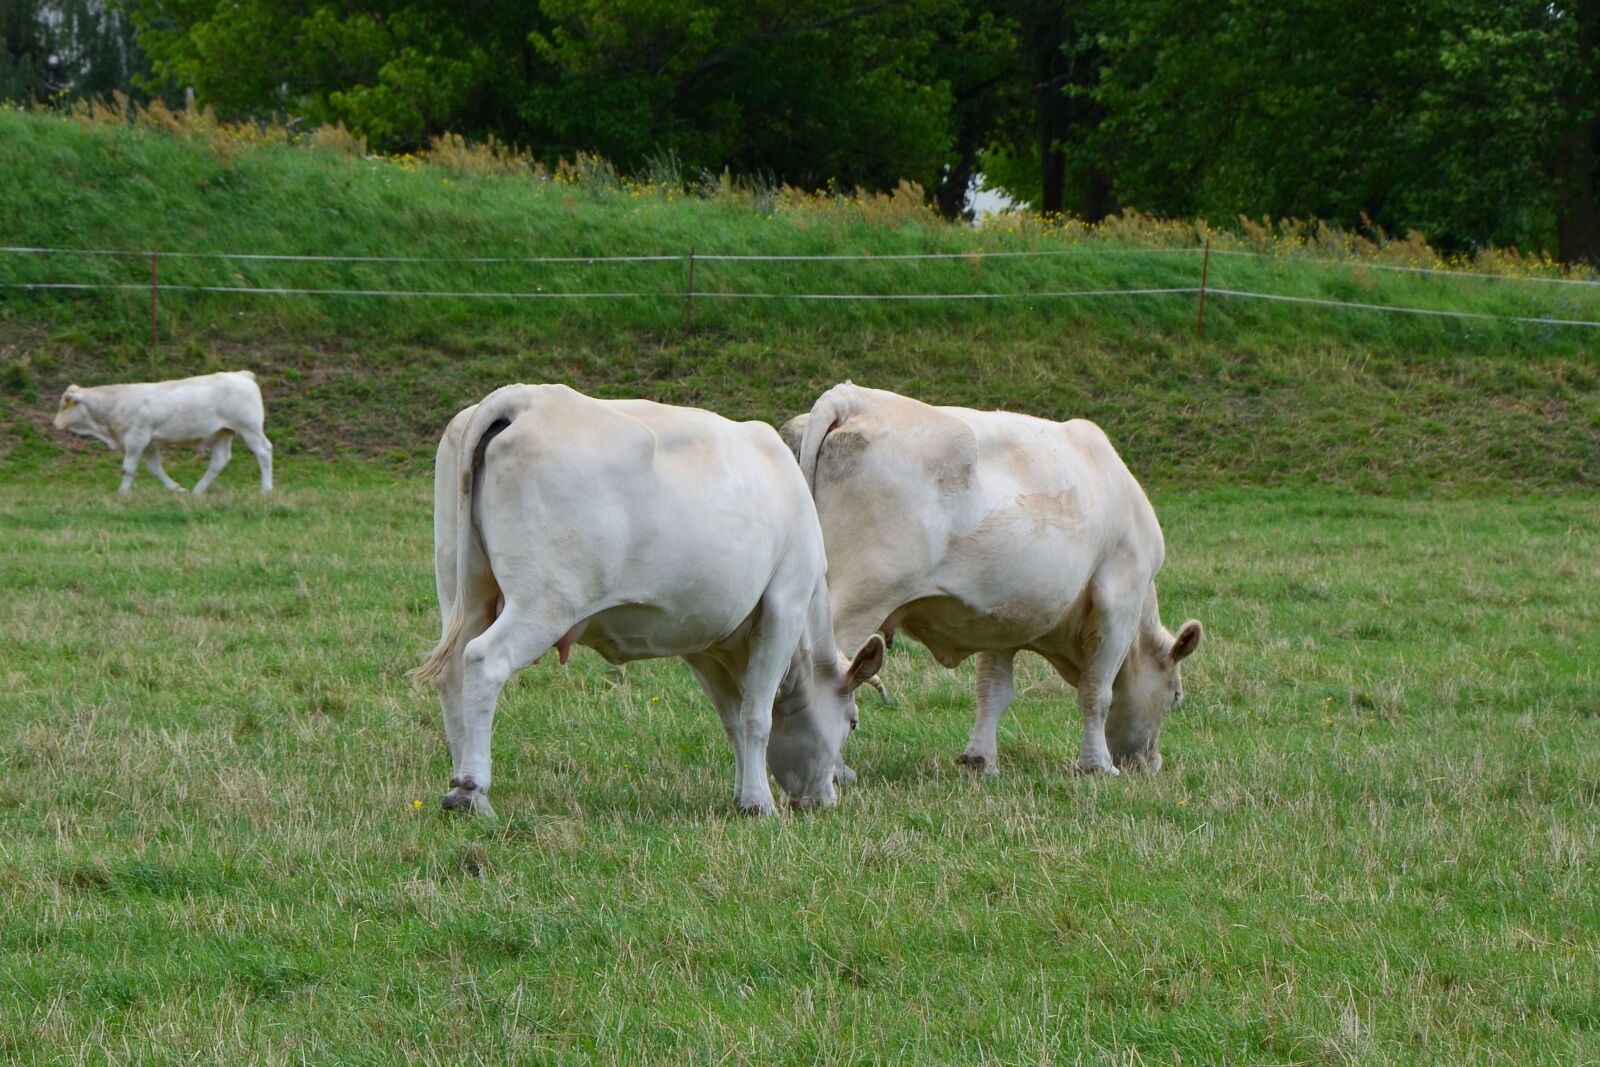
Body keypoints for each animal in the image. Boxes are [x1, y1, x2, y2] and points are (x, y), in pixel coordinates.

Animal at [52, 371, 273, 494]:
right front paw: (176, 489)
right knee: (219, 461)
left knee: (263, 452)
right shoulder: (150, 444)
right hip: (222, 432)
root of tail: (241, 374)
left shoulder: (136, 439)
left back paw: (266, 489)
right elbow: (155, 469)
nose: (54, 424)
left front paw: (122, 493)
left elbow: (129, 468)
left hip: (249, 428)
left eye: (65, 405)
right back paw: (197, 491)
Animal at [412, 385, 884, 817]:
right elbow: (756, 715)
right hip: (544, 601)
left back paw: (463, 788)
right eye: (853, 721)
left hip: (465, 591)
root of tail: (523, 398)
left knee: (452, 673)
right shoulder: (784, 604)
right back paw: (471, 790)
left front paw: (740, 795)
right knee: (483, 660)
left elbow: (732, 718)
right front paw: (758, 802)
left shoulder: (705, 642)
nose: (824, 799)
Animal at [784, 383, 1202, 778]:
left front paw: (980, 759)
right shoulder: (1118, 600)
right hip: (859, 596)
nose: (1151, 763)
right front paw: (1098, 765)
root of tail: (850, 397)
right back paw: (833, 769)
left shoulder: (1003, 619)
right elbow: (1097, 691)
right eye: (1175, 696)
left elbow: (994, 691)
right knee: (833, 674)